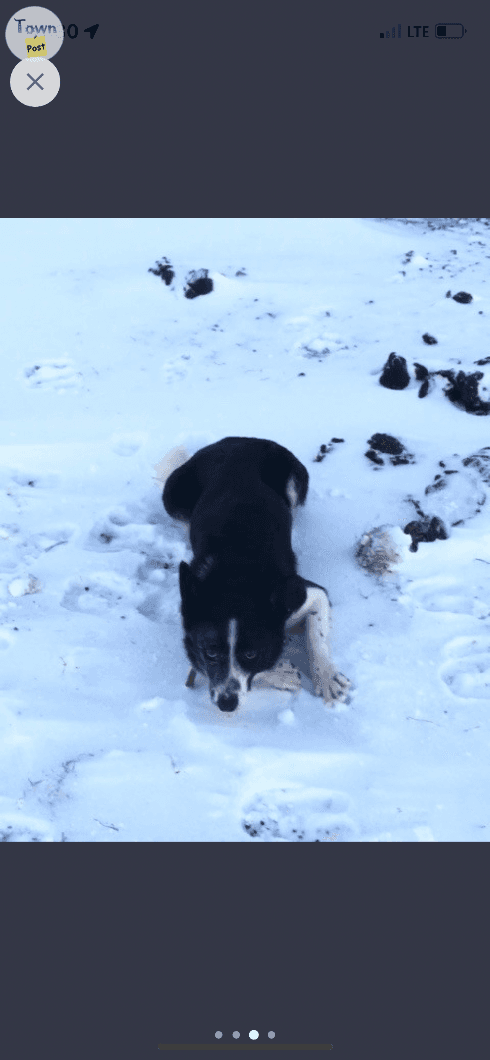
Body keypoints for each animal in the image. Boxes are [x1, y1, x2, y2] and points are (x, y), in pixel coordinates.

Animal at [162, 434, 349, 716]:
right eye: (210, 653)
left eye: (251, 654)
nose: (226, 705)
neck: (237, 578)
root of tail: (237, 439)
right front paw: (282, 674)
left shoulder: (309, 593)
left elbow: (316, 636)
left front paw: (326, 678)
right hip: (172, 494)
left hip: (295, 476)